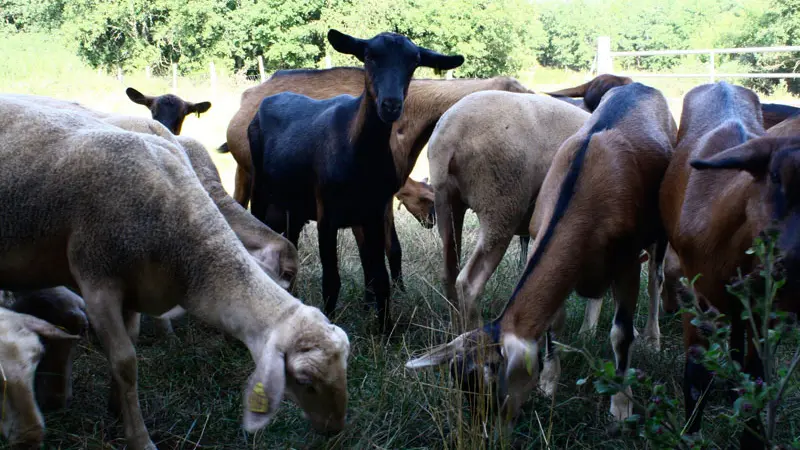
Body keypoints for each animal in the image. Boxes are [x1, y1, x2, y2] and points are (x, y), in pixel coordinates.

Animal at [248, 29, 462, 330]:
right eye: (369, 56)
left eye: (413, 62)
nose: (391, 105)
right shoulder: (327, 216)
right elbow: (331, 280)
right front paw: (329, 323)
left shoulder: (373, 213)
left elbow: (380, 276)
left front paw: (385, 329)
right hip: (259, 189)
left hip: (293, 204)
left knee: (289, 242)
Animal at [406, 81, 676, 426]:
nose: (485, 427)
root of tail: (448, 132)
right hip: (501, 204)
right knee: (469, 282)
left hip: (448, 204)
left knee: (449, 274)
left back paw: (457, 330)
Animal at [656, 81, 800, 446]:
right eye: (775, 176)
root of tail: (723, 83)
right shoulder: (697, 296)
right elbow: (697, 376)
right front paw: (690, 436)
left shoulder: (765, 310)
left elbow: (758, 378)